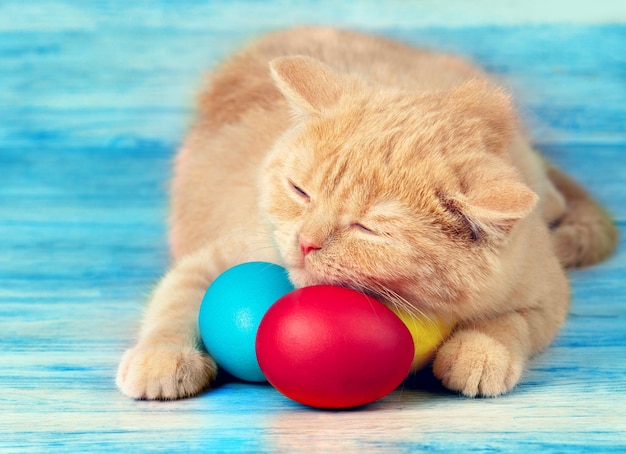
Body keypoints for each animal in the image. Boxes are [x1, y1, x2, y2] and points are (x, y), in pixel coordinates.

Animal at [116, 26, 616, 400]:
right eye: (300, 191)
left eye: (368, 229)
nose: (305, 241)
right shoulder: (221, 251)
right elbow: (177, 299)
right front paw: (160, 356)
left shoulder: (544, 289)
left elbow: (512, 321)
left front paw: (480, 352)